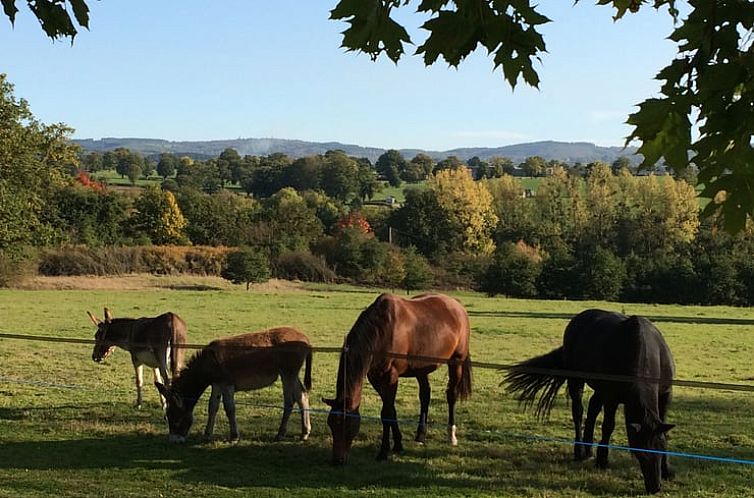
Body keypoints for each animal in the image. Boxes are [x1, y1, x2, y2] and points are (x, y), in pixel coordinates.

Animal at [156, 328, 312, 442]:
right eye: (168, 417)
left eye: (176, 418)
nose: (173, 441)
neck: (210, 362)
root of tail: (305, 339)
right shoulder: (217, 385)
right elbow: (212, 406)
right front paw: (207, 434)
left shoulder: (227, 385)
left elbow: (229, 408)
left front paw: (234, 436)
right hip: (291, 374)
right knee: (302, 395)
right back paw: (304, 433)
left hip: (287, 373)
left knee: (290, 400)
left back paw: (280, 434)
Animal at [322, 294, 470, 464]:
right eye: (331, 424)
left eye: (347, 426)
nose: (337, 461)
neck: (382, 331)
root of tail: (457, 305)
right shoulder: (375, 377)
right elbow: (390, 411)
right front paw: (398, 444)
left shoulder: (390, 377)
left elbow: (386, 413)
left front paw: (383, 451)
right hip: (421, 368)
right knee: (425, 396)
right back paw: (420, 435)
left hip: (456, 361)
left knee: (451, 395)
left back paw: (451, 435)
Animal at [502, 310, 672, 492]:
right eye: (641, 453)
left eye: (661, 448)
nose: (655, 487)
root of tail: (579, 318)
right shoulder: (611, 397)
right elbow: (608, 426)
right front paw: (602, 461)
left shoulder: (664, 396)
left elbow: (664, 431)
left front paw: (667, 470)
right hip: (576, 382)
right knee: (578, 412)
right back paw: (580, 452)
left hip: (599, 389)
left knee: (592, 408)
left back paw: (589, 449)